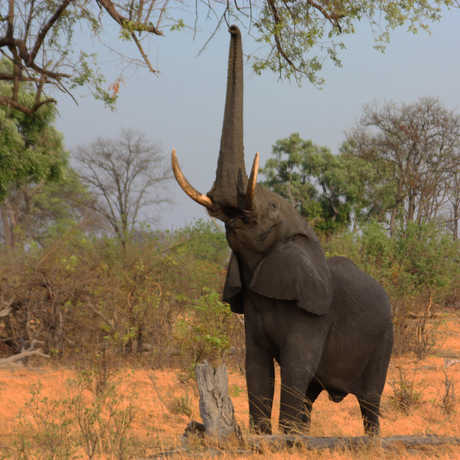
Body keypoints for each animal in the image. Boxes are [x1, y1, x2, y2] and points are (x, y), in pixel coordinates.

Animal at [171, 25, 394, 434]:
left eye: (270, 210)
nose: (233, 27)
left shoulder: (314, 314)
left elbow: (295, 367)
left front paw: (282, 440)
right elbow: (255, 368)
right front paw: (264, 437)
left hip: (385, 337)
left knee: (369, 399)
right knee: (312, 394)